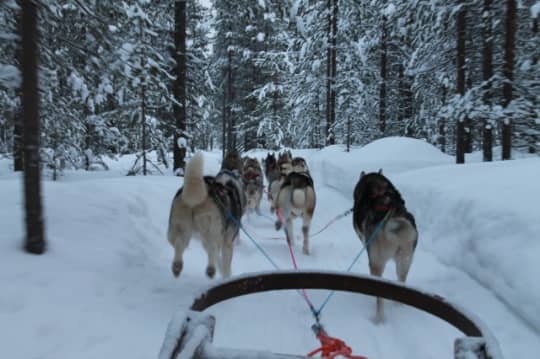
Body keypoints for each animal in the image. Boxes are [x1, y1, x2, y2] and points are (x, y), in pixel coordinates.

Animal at [352, 170, 420, 324]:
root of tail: (394, 214)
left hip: (377, 264)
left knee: (380, 298)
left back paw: (379, 318)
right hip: (405, 260)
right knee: (401, 279)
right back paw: (399, 305)